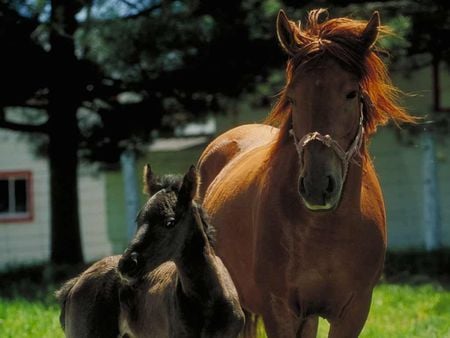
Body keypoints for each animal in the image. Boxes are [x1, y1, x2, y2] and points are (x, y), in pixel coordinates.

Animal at [199, 8, 416, 338]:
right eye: (292, 96)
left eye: (351, 93)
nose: (317, 186)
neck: (324, 231)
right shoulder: (280, 311)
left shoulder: (352, 312)